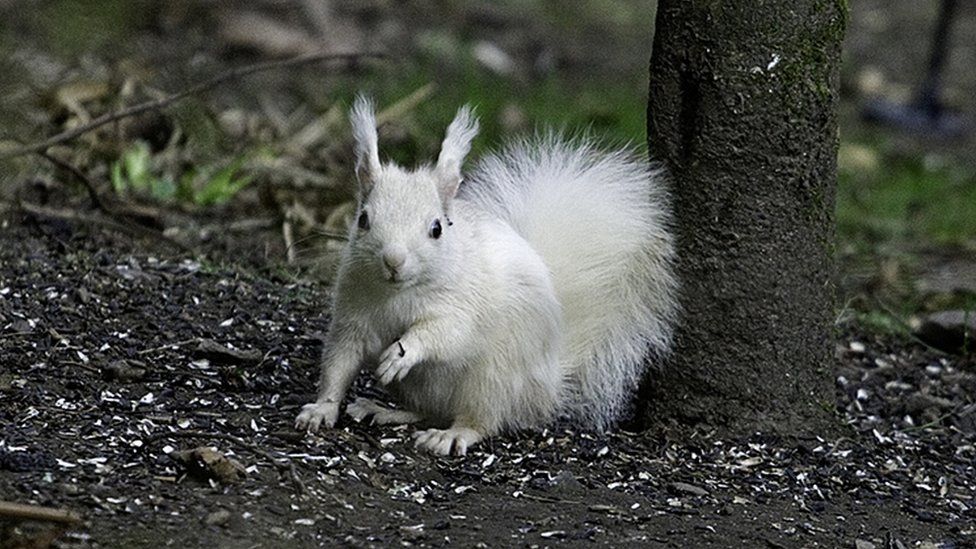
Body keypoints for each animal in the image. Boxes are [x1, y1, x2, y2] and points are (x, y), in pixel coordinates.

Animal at [296, 95, 680, 454]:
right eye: (363, 219)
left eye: (437, 229)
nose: (394, 260)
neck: (398, 294)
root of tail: (546, 386)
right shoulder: (353, 316)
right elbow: (338, 364)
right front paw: (321, 409)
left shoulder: (462, 306)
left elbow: (444, 334)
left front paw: (402, 352)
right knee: (430, 411)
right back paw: (386, 410)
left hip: (492, 380)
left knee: (479, 421)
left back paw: (449, 435)